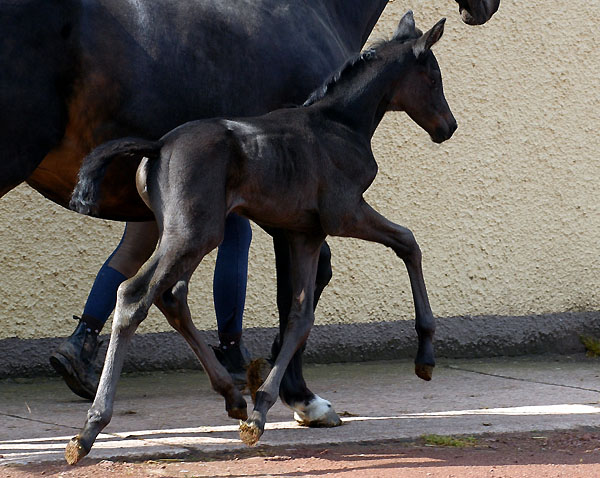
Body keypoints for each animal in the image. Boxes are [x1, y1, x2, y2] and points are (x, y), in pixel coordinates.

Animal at [0, 0, 496, 422]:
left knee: (167, 294)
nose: (449, 126)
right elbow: (401, 246)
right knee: (140, 295)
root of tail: (157, 146)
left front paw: (283, 391)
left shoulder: (299, 228)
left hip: (186, 231)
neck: (335, 121)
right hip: (189, 230)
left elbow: (300, 305)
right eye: (433, 77)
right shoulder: (342, 214)